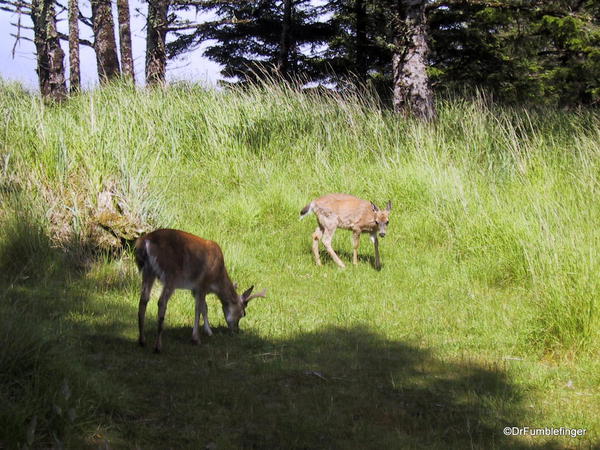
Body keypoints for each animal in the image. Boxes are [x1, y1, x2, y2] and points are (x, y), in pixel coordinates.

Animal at [136, 230, 268, 354]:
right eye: (243, 313)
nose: (236, 330)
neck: (216, 279)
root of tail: (146, 241)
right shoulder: (202, 284)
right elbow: (199, 308)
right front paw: (196, 338)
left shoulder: (194, 289)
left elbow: (204, 308)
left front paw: (209, 332)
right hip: (170, 274)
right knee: (161, 302)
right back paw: (158, 347)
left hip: (148, 271)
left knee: (143, 299)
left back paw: (142, 341)